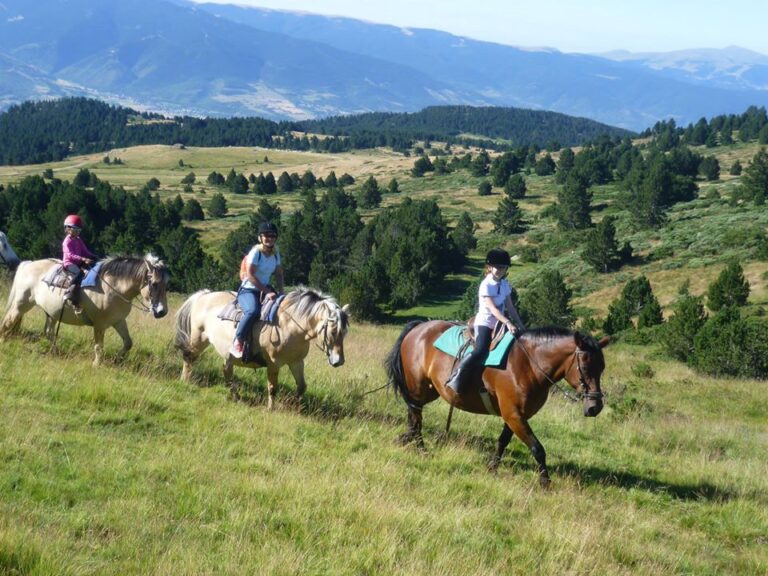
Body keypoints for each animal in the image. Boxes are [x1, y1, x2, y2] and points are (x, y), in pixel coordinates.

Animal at [0, 254, 170, 366]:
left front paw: (117, 359)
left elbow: (128, 343)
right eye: (154, 284)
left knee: (48, 332)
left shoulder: (118, 321)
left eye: (165, 284)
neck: (113, 288)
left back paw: (57, 352)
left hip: (52, 313)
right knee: (8, 321)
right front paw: (97, 364)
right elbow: (99, 346)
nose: (162, 312)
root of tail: (28, 264)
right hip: (21, 305)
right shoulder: (100, 324)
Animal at [174, 287, 350, 409]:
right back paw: (185, 381)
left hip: (227, 354)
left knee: (227, 371)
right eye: (333, 331)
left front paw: (293, 404)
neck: (289, 325)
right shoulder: (273, 363)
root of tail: (204, 295)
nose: (338, 361)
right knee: (189, 358)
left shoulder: (297, 362)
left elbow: (302, 386)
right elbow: (272, 387)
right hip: (198, 340)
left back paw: (236, 397)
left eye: (345, 332)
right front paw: (271, 408)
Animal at [385, 321, 609, 487]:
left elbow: (502, 441)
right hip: (418, 387)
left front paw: (492, 467)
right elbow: (537, 448)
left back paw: (408, 439)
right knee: (415, 413)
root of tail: (419, 327)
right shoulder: (514, 415)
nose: (595, 407)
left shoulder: (516, 415)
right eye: (586, 367)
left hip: (430, 390)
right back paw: (420, 447)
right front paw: (545, 482)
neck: (528, 365)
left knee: (413, 412)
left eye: (602, 367)